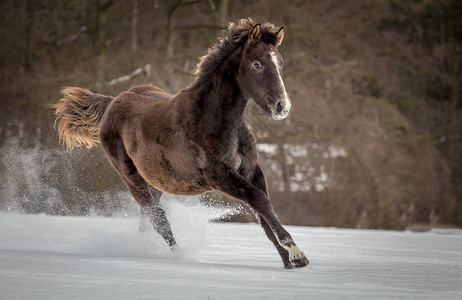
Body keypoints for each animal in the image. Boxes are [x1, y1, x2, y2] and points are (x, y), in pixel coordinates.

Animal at [52, 18, 308, 270]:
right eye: (257, 64)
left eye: (280, 63)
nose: (282, 106)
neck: (214, 120)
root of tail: (113, 101)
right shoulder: (219, 176)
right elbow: (259, 200)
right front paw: (296, 253)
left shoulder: (252, 171)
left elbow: (262, 212)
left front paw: (288, 260)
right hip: (133, 180)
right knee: (158, 219)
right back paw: (178, 255)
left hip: (154, 182)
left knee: (147, 219)